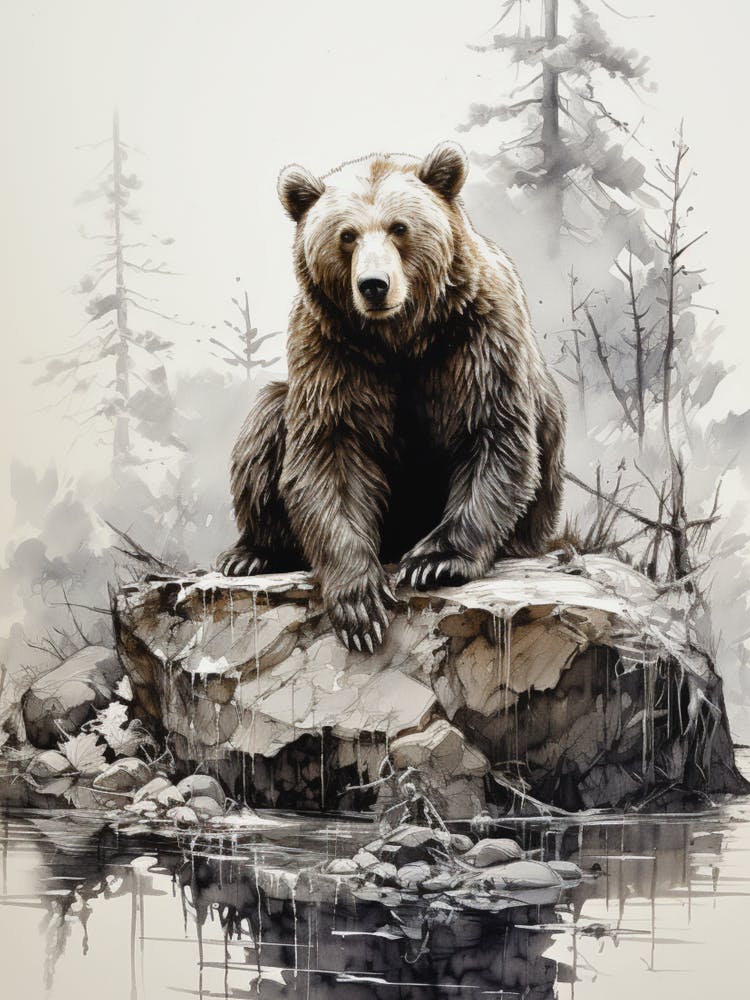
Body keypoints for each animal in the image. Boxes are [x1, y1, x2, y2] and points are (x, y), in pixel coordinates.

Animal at [217, 141, 566, 652]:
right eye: (347, 235)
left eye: (400, 227)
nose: (374, 285)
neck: (400, 337)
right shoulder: (332, 350)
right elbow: (330, 452)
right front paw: (359, 603)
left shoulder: (478, 336)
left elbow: (492, 434)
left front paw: (433, 562)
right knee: (265, 424)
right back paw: (251, 554)